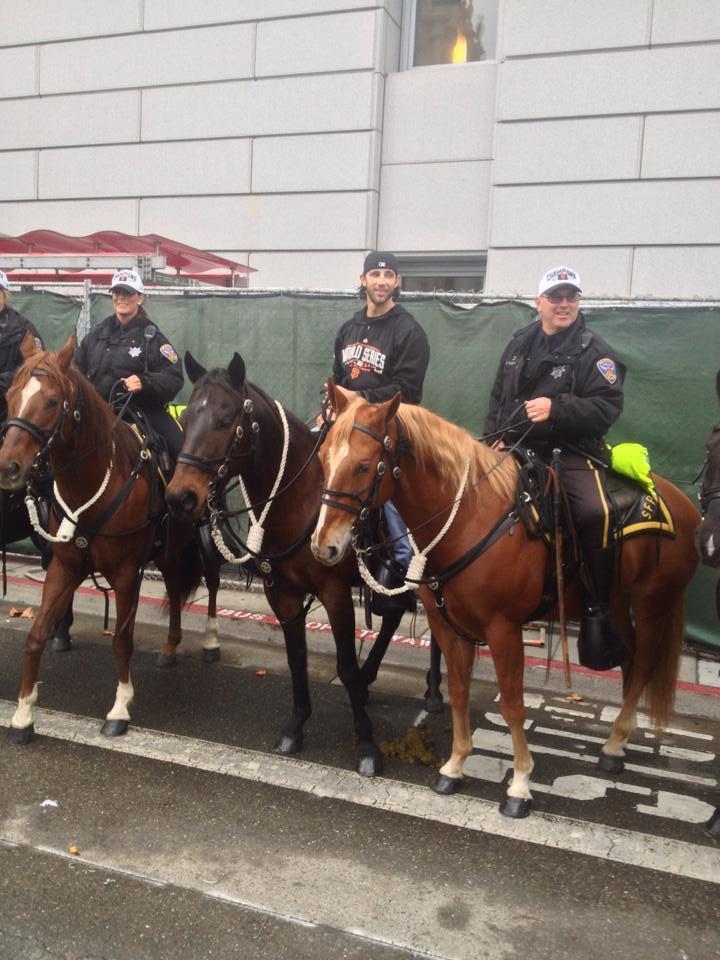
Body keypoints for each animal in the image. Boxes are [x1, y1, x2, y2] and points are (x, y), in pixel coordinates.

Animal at [0, 338, 221, 744]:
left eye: (52, 401)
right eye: (10, 395)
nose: (9, 467)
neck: (97, 479)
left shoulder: (125, 574)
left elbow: (122, 639)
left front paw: (119, 709)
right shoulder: (64, 567)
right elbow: (36, 635)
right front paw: (23, 715)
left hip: (203, 532)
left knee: (211, 581)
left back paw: (211, 641)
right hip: (168, 549)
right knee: (174, 586)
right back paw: (170, 645)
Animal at [165, 352, 410, 772]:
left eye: (225, 419)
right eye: (187, 418)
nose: (180, 497)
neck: (301, 501)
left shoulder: (335, 593)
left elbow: (345, 667)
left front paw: (366, 743)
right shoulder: (282, 592)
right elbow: (297, 658)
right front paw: (296, 726)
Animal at [312, 382, 700, 816]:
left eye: (364, 466)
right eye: (324, 459)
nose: (323, 545)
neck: (468, 518)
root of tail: (684, 503)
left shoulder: (504, 630)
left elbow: (513, 704)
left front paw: (519, 783)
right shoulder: (448, 627)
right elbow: (459, 691)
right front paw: (455, 764)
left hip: (653, 602)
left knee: (645, 662)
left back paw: (615, 741)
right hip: (616, 599)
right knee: (631, 660)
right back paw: (619, 740)